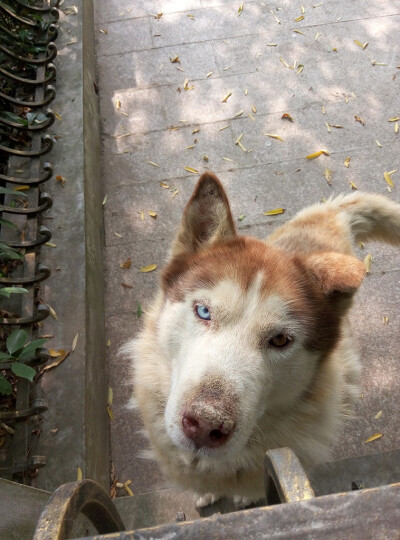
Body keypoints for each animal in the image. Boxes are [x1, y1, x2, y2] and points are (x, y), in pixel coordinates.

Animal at [126, 172, 400, 506]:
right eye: (203, 311)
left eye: (280, 339)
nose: (205, 424)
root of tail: (329, 215)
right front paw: (206, 492)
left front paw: (244, 498)